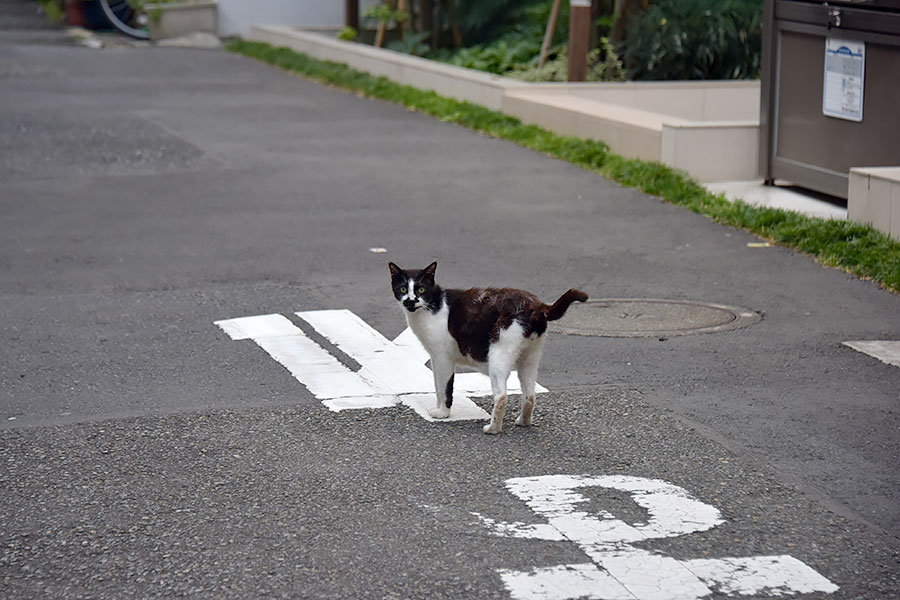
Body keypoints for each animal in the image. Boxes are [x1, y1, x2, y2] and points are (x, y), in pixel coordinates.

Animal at [388, 260, 588, 434]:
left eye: (421, 289)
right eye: (403, 288)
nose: (410, 300)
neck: (433, 306)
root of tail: (536, 305)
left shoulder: (443, 358)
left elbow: (444, 388)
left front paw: (442, 413)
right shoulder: (436, 359)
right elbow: (437, 386)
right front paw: (438, 408)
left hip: (499, 356)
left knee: (501, 397)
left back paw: (493, 429)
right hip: (529, 358)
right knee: (530, 395)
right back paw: (523, 422)